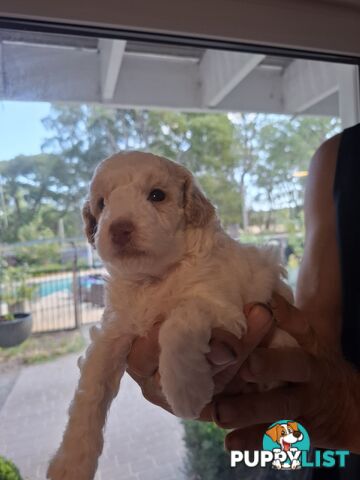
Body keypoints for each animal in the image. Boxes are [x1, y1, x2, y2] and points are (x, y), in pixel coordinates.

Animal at [47, 152, 296, 480]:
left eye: (157, 195)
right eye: (101, 203)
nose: (119, 229)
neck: (155, 278)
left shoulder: (222, 307)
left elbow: (178, 321)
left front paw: (187, 392)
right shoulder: (115, 328)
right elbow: (90, 390)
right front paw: (71, 462)